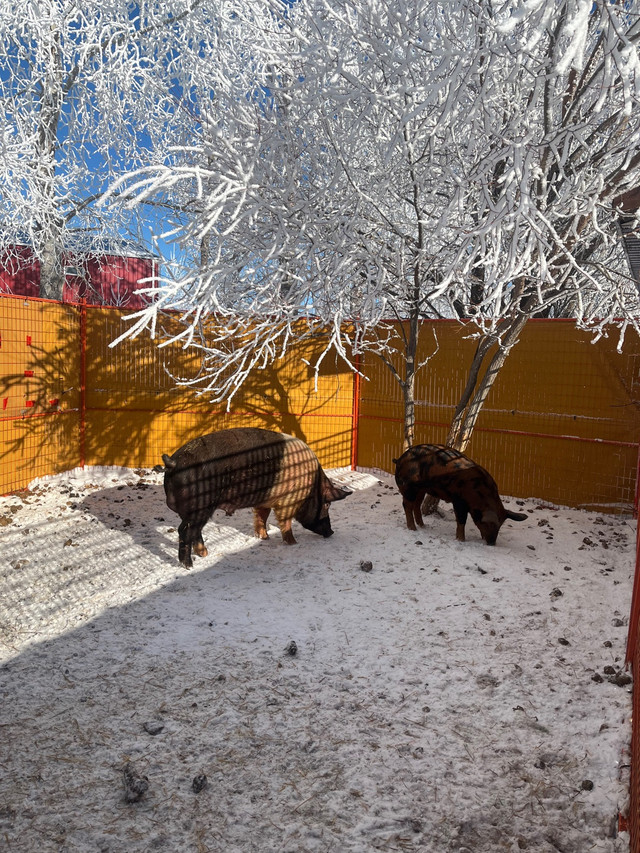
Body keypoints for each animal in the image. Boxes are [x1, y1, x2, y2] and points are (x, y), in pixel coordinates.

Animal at [160, 426, 350, 564]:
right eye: (327, 504)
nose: (331, 532)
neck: (312, 484)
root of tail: (173, 462)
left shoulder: (265, 500)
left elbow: (261, 517)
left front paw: (263, 537)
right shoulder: (287, 502)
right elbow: (285, 522)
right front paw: (293, 543)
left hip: (196, 510)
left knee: (195, 531)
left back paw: (205, 554)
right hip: (200, 506)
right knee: (185, 530)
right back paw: (189, 564)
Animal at [392, 442, 528, 544]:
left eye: (500, 525)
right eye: (489, 524)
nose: (492, 543)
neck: (479, 494)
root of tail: (399, 459)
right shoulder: (458, 500)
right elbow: (461, 520)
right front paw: (461, 540)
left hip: (421, 489)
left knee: (416, 505)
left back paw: (423, 526)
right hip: (408, 486)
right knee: (407, 505)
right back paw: (413, 529)